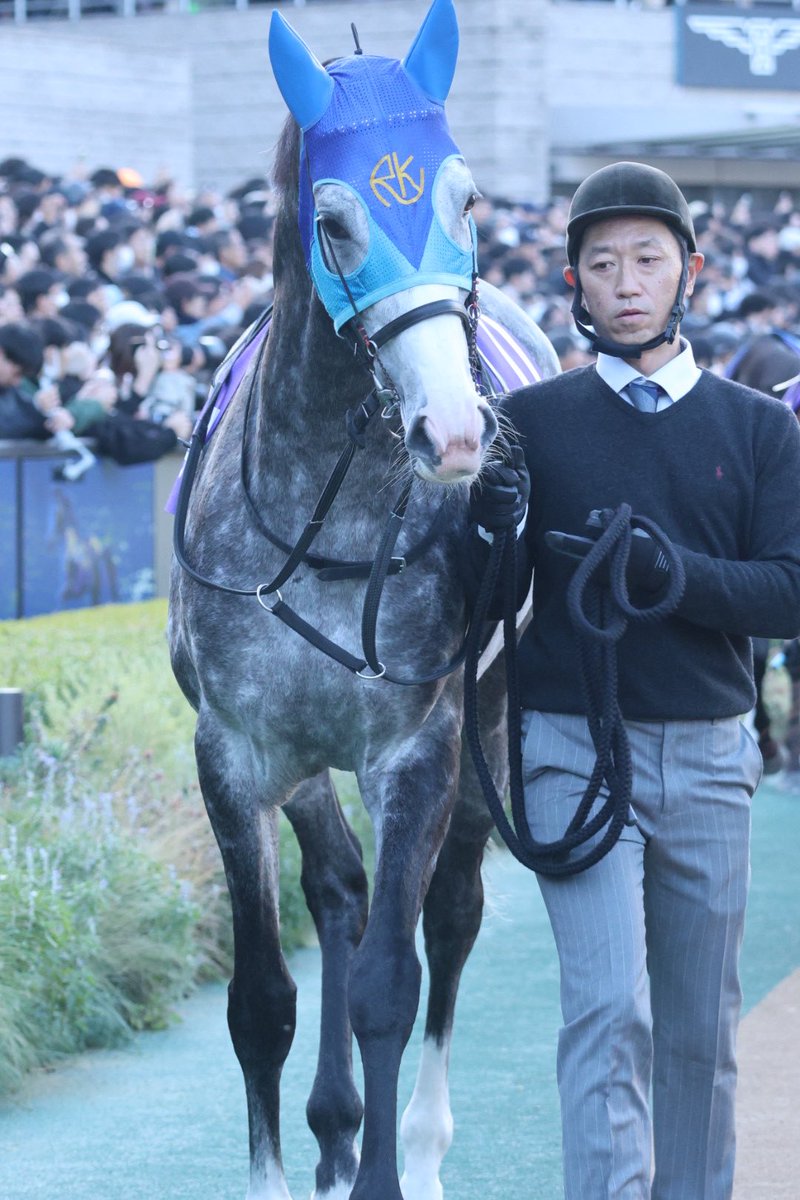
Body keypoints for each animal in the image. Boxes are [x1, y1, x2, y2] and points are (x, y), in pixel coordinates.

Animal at [168, 3, 558, 1197]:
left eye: (465, 200)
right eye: (335, 223)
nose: (457, 431)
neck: (320, 523)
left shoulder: (417, 748)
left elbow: (392, 978)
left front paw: (390, 1161)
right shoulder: (236, 749)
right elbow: (261, 998)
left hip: (487, 726)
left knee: (452, 912)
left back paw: (415, 1146)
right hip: (306, 758)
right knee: (337, 887)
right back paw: (337, 1128)